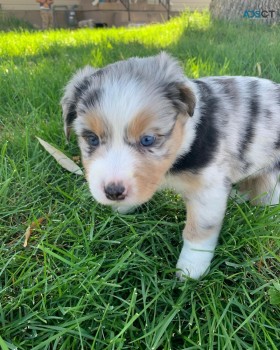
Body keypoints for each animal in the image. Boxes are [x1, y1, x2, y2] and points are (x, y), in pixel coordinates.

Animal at [61, 53, 280, 280]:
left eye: (147, 139)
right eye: (92, 139)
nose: (113, 192)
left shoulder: (207, 190)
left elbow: (198, 231)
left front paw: (191, 269)